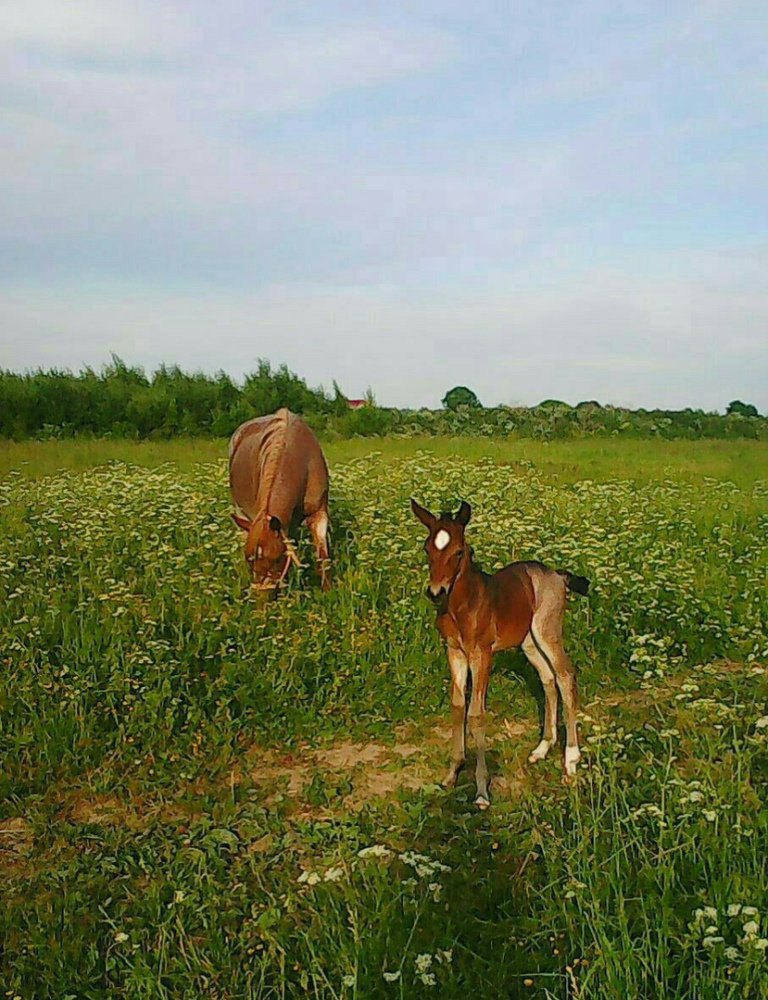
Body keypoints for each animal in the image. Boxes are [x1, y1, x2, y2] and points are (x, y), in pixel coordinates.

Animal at [414, 496, 588, 808]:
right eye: (427, 548)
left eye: (460, 551)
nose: (435, 592)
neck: (464, 605)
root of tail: (558, 575)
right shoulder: (454, 652)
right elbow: (458, 707)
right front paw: (452, 773)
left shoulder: (481, 654)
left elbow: (476, 714)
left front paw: (482, 792)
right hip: (529, 642)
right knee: (548, 679)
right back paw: (543, 748)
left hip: (547, 631)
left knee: (566, 676)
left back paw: (570, 760)